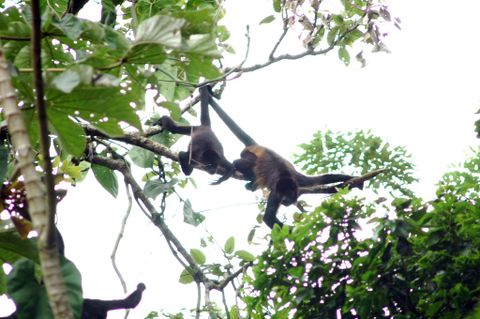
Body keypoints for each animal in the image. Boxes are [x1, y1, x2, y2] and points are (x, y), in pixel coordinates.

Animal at [206, 89, 364, 230]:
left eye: (289, 195)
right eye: (283, 196)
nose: (285, 201)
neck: (285, 177)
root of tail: (257, 146)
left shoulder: (299, 181)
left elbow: (323, 180)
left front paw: (353, 179)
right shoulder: (275, 192)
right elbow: (268, 218)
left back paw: (252, 184)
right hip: (247, 154)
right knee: (240, 163)